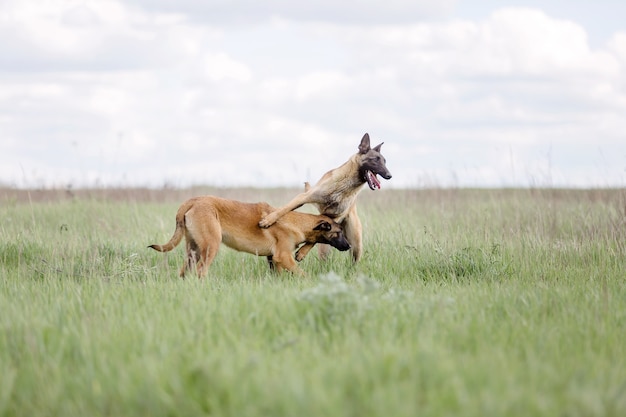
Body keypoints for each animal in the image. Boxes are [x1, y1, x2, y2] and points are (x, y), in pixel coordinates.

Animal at [147, 195, 352, 276]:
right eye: (338, 233)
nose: (349, 246)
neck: (295, 222)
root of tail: (192, 201)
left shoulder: (274, 260)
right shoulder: (283, 257)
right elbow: (302, 274)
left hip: (194, 251)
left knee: (184, 272)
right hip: (211, 246)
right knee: (200, 272)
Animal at [258, 132, 390, 262]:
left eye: (384, 161)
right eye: (375, 160)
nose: (389, 175)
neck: (344, 186)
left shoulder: (336, 217)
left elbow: (313, 239)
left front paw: (302, 252)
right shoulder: (304, 197)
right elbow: (284, 209)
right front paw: (268, 220)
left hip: (355, 245)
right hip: (326, 248)